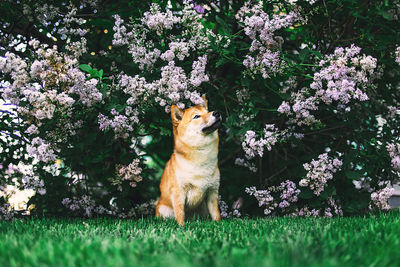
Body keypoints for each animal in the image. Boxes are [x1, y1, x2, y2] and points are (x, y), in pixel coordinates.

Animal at [155, 96, 222, 226]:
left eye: (207, 111)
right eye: (196, 116)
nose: (216, 112)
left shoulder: (212, 191)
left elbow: (216, 213)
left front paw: (219, 224)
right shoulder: (179, 191)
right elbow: (180, 213)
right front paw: (181, 227)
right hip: (164, 209)